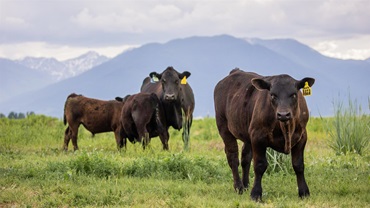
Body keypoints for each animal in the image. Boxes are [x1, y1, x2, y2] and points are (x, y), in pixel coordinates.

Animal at [214, 68, 316, 202]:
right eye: (272, 95)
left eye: (294, 94)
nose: (283, 114)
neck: (285, 127)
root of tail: (235, 72)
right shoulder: (258, 137)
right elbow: (260, 165)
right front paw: (256, 194)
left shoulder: (302, 137)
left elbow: (298, 165)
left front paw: (304, 192)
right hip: (224, 127)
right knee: (233, 157)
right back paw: (239, 187)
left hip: (247, 133)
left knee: (245, 158)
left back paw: (246, 185)